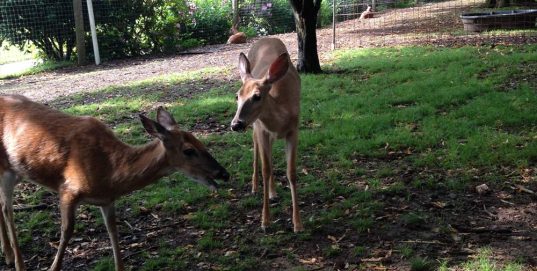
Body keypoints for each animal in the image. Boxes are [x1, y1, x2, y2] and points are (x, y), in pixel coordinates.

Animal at [0, 94, 228, 270]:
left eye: (200, 141)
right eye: (189, 150)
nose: (223, 173)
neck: (110, 172)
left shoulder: (107, 200)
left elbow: (113, 230)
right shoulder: (67, 189)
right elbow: (66, 231)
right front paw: (53, 267)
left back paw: (8, 256)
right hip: (6, 169)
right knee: (7, 209)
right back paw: (18, 263)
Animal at [229, 37, 302, 234]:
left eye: (257, 96)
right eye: (237, 96)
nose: (235, 124)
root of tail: (266, 37)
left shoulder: (294, 130)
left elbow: (291, 172)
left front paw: (298, 223)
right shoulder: (261, 129)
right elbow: (265, 169)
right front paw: (265, 221)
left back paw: (273, 193)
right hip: (255, 126)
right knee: (256, 150)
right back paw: (255, 187)